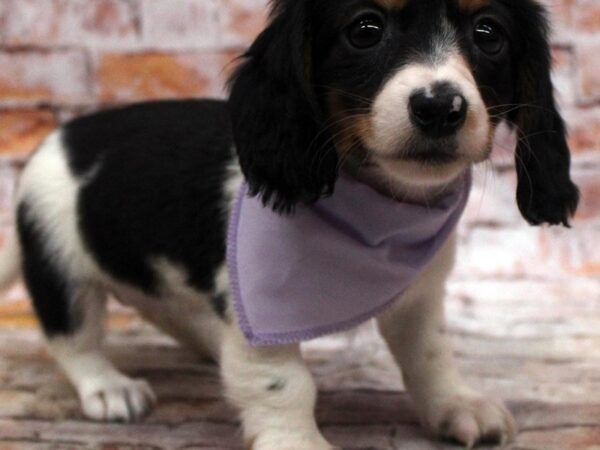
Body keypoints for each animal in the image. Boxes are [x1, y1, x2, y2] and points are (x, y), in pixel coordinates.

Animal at [0, 0, 580, 448]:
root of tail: (52, 144)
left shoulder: (418, 296)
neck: (380, 211)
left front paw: (457, 404)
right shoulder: (261, 314)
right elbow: (283, 383)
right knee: (72, 338)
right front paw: (297, 440)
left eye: (488, 34)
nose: (440, 106)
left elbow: (431, 355)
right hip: (61, 263)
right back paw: (108, 385)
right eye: (365, 29)